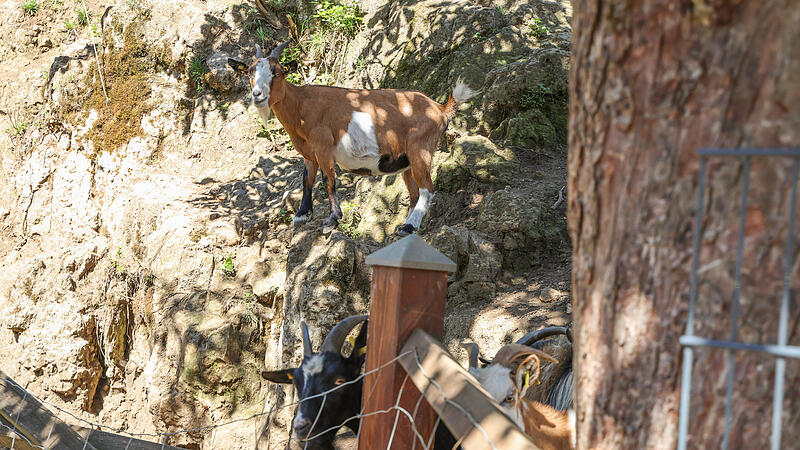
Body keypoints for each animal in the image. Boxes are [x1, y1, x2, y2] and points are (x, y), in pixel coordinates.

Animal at [229, 42, 476, 235]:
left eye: (277, 73)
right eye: (250, 72)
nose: (258, 95)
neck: (301, 104)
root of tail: (440, 108)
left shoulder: (324, 147)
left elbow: (328, 180)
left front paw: (331, 220)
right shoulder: (309, 152)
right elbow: (306, 179)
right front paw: (301, 215)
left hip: (420, 149)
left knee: (427, 189)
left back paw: (408, 227)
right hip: (406, 161)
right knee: (415, 193)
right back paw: (408, 227)